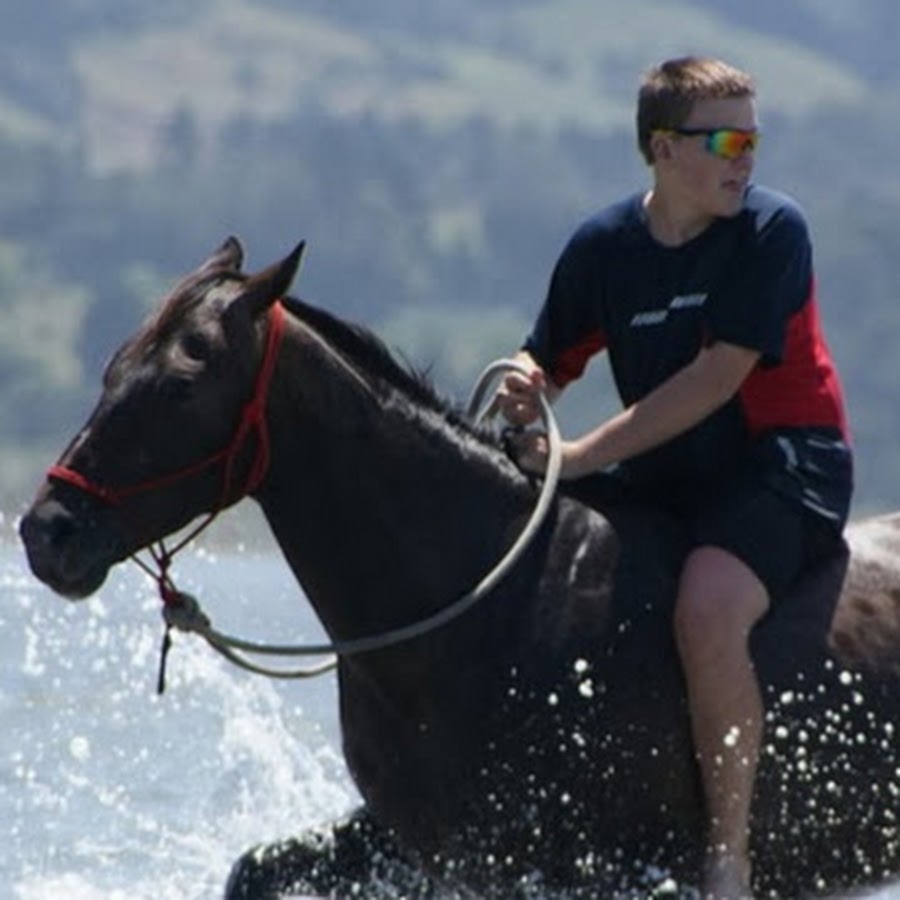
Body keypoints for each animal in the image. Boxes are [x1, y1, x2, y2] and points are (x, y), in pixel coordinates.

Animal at [19, 236, 900, 899]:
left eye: (179, 383)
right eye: (112, 368)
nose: (46, 531)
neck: (490, 604)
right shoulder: (421, 846)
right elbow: (256, 868)